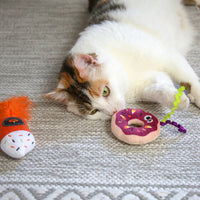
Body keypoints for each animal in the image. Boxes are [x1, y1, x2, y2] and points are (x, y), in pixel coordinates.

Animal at [43, 0, 200, 120]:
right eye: (94, 111)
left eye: (105, 91)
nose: (113, 111)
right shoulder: (146, 82)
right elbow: (158, 88)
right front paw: (177, 100)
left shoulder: (168, 56)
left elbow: (188, 79)